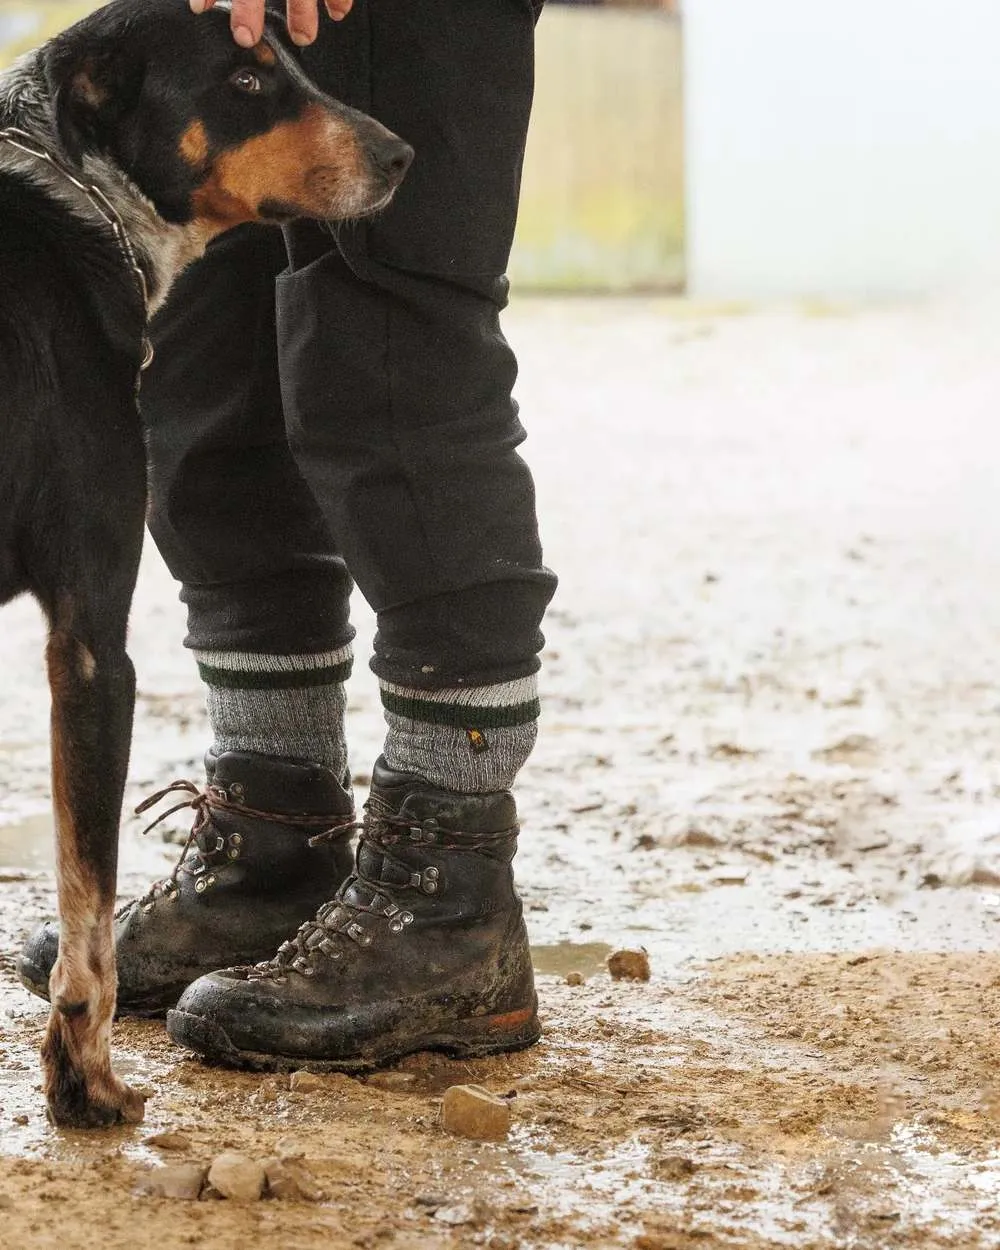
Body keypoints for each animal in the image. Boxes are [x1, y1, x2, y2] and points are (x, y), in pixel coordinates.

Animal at [0, 0, 410, 1135]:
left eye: (293, 62)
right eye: (247, 79)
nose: (402, 154)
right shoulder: (93, 645)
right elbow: (87, 916)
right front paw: (85, 1082)